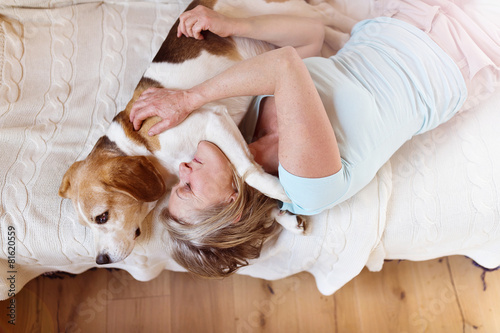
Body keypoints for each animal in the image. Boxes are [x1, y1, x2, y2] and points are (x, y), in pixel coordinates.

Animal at [59, 0, 336, 264]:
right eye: (86, 225)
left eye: (102, 217)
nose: (101, 260)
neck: (137, 145)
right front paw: (283, 216)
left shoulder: (212, 120)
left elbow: (247, 172)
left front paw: (279, 190)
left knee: (324, 17)